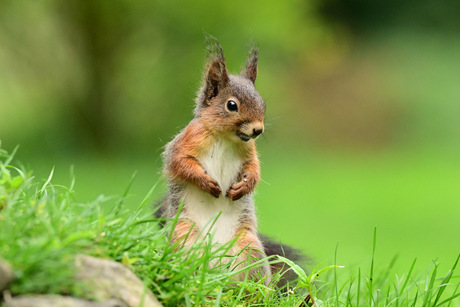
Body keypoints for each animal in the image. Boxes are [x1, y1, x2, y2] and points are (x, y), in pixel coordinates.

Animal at [157, 41, 302, 286]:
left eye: (262, 102)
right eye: (231, 105)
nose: (258, 130)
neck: (225, 137)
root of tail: (215, 268)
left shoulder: (249, 151)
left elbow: (254, 168)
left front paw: (244, 185)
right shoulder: (185, 142)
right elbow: (179, 163)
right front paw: (205, 182)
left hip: (249, 247)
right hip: (184, 238)